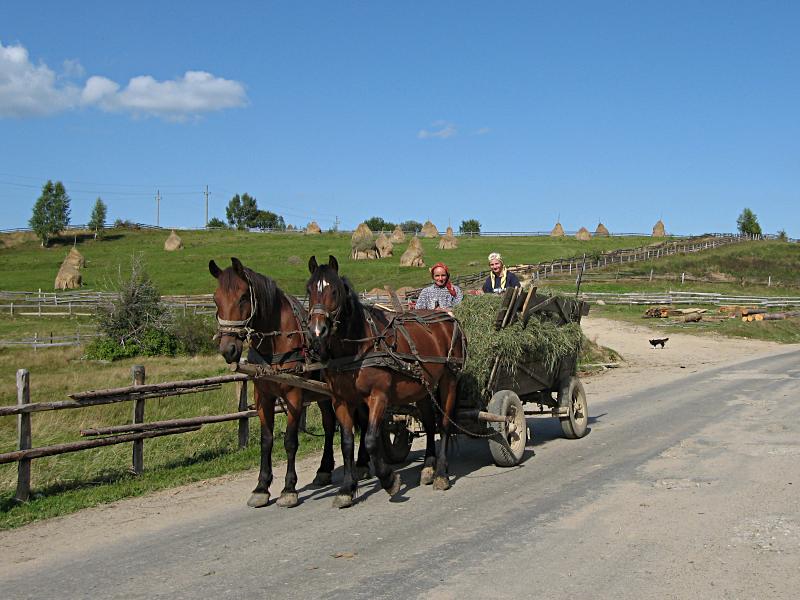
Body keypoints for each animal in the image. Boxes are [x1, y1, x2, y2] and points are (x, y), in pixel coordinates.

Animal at [206, 256, 368, 506]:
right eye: (216, 299)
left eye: (243, 297)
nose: (228, 349)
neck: (277, 341)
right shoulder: (263, 397)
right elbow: (266, 440)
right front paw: (261, 487)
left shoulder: (294, 395)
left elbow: (290, 441)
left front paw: (289, 489)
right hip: (323, 394)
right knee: (329, 425)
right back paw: (324, 469)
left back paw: (361, 464)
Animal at [308, 255, 468, 508]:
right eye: (309, 289)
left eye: (334, 291)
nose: (316, 331)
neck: (360, 347)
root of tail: (447, 317)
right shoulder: (340, 400)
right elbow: (346, 443)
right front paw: (346, 489)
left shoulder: (378, 397)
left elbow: (371, 439)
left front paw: (389, 480)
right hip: (422, 388)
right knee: (429, 423)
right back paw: (428, 467)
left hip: (448, 381)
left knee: (443, 424)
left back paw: (441, 473)